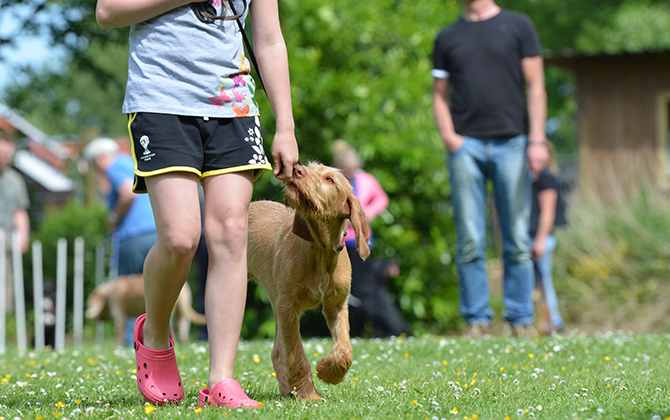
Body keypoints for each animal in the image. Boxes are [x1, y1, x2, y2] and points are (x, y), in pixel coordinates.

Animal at [248, 162, 372, 400]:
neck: (320, 250)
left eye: (329, 180)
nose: (297, 169)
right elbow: (297, 355)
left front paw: (328, 371)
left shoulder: (336, 305)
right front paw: (308, 395)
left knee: (277, 351)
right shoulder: (288, 307)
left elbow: (345, 350)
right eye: (309, 166)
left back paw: (287, 389)